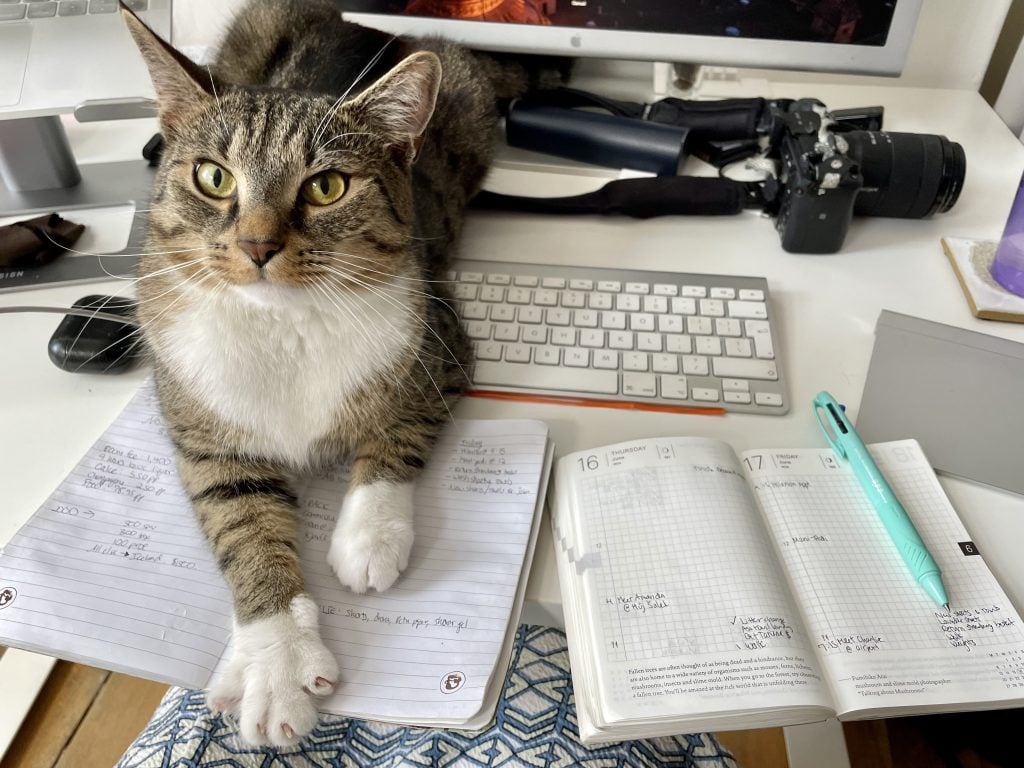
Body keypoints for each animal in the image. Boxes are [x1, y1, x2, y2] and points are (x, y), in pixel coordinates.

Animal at [124, 0, 540, 745]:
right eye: (214, 177)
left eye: (326, 187)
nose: (257, 245)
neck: (283, 324)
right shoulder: (204, 430)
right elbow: (244, 525)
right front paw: (276, 666)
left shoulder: (440, 344)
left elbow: (396, 437)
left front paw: (369, 539)